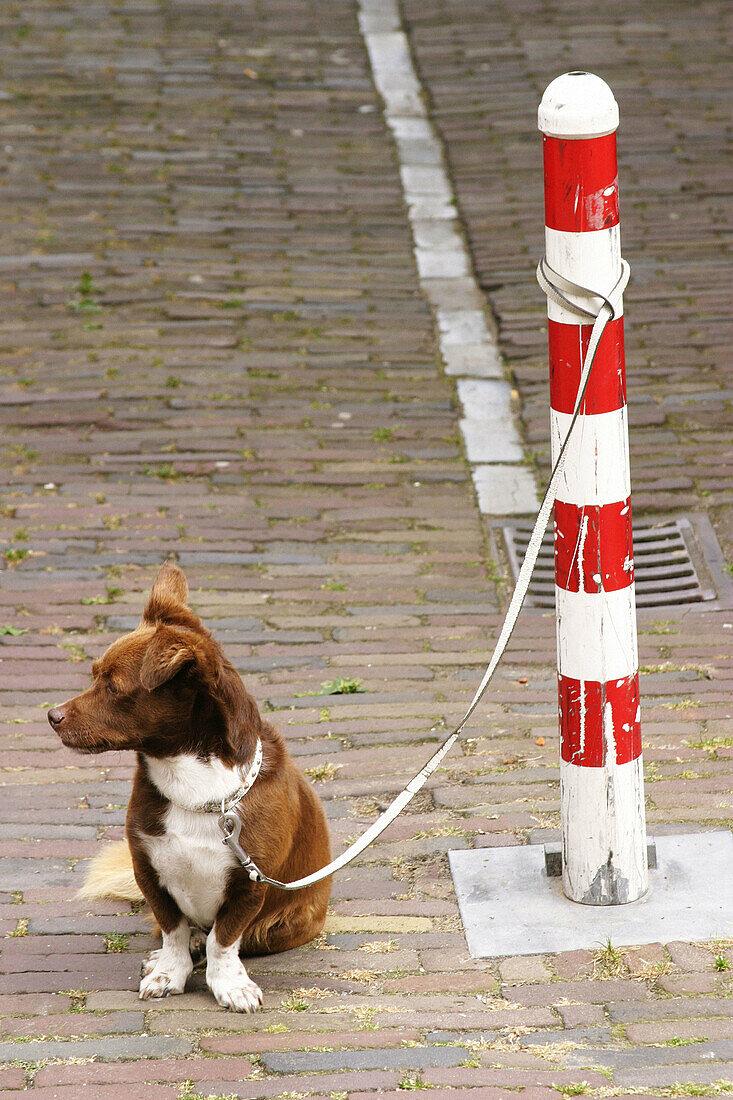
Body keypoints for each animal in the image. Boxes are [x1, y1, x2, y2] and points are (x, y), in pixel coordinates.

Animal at [47, 567, 330, 1012]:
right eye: (93, 675)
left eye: (113, 687)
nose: (52, 716)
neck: (193, 786)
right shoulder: (148, 869)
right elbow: (173, 930)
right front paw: (168, 971)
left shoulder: (250, 882)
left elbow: (224, 940)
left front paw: (229, 984)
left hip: (284, 924)